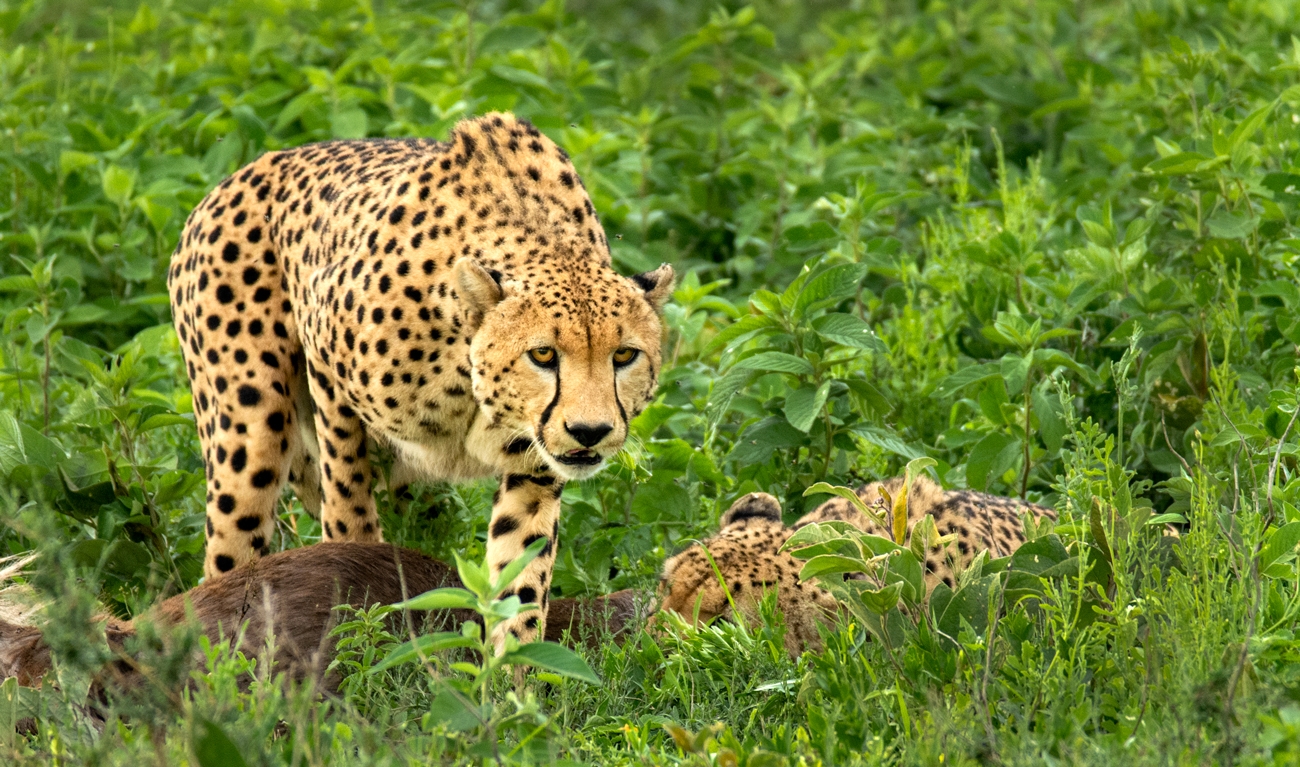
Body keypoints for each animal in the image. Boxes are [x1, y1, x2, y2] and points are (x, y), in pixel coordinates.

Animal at [169, 111, 676, 650]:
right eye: (543, 354)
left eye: (624, 355)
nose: (590, 432)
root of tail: (240, 174)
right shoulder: (326, 367)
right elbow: (347, 502)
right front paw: (357, 611)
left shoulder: (535, 465)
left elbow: (520, 573)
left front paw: (513, 668)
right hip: (248, 437)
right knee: (233, 547)